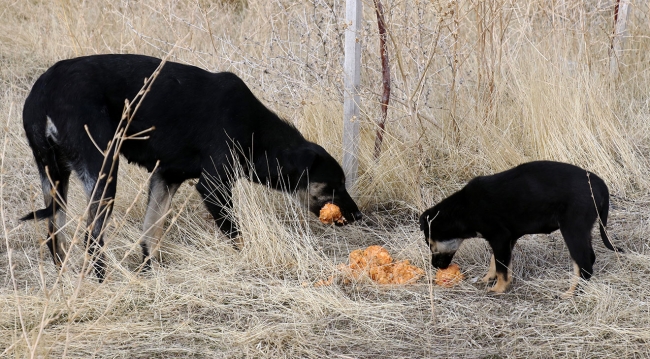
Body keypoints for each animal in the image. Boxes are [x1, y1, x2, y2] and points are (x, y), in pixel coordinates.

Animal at [20, 54, 362, 282]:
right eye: (334, 185)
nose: (358, 216)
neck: (255, 131)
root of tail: (44, 92)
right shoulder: (213, 187)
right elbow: (237, 236)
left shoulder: (165, 178)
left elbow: (152, 232)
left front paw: (149, 272)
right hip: (103, 171)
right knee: (92, 238)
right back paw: (103, 281)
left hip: (55, 179)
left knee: (54, 236)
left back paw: (64, 278)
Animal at [418, 162, 620, 296]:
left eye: (430, 243)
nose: (434, 266)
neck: (463, 209)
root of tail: (600, 184)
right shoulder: (507, 239)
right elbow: (496, 262)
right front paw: (488, 278)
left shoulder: (499, 237)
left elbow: (501, 268)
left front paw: (498, 288)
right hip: (583, 230)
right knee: (589, 259)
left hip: (573, 230)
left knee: (584, 265)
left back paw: (571, 293)